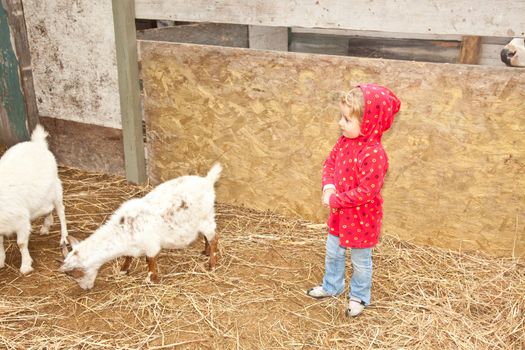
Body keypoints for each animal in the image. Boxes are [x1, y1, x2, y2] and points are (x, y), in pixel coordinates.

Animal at [0, 124, 68, 274]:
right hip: (41, 197)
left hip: (56, 188)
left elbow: (21, 243)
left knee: (61, 211)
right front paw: (0, 261)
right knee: (48, 209)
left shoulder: (20, 220)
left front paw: (26, 266)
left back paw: (64, 238)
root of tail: (37, 144)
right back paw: (46, 225)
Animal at [60, 164, 222, 290]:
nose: (85, 289)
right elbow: (128, 257)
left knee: (214, 238)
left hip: (206, 218)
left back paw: (212, 265)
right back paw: (205, 252)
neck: (123, 231)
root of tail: (207, 181)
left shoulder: (151, 245)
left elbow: (150, 261)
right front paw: (123, 270)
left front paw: (151, 280)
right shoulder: (132, 247)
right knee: (207, 237)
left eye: (75, 274)